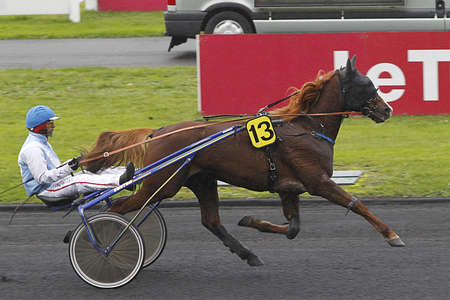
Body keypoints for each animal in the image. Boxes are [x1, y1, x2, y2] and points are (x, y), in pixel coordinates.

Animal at [82, 56, 406, 268]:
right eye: (368, 85)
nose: (387, 110)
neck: (308, 127)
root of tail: (157, 132)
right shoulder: (318, 182)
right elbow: (356, 204)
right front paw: (392, 235)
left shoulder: (289, 187)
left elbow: (292, 228)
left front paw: (250, 220)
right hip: (161, 184)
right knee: (117, 207)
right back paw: (104, 244)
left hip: (200, 180)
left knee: (211, 221)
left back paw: (248, 254)